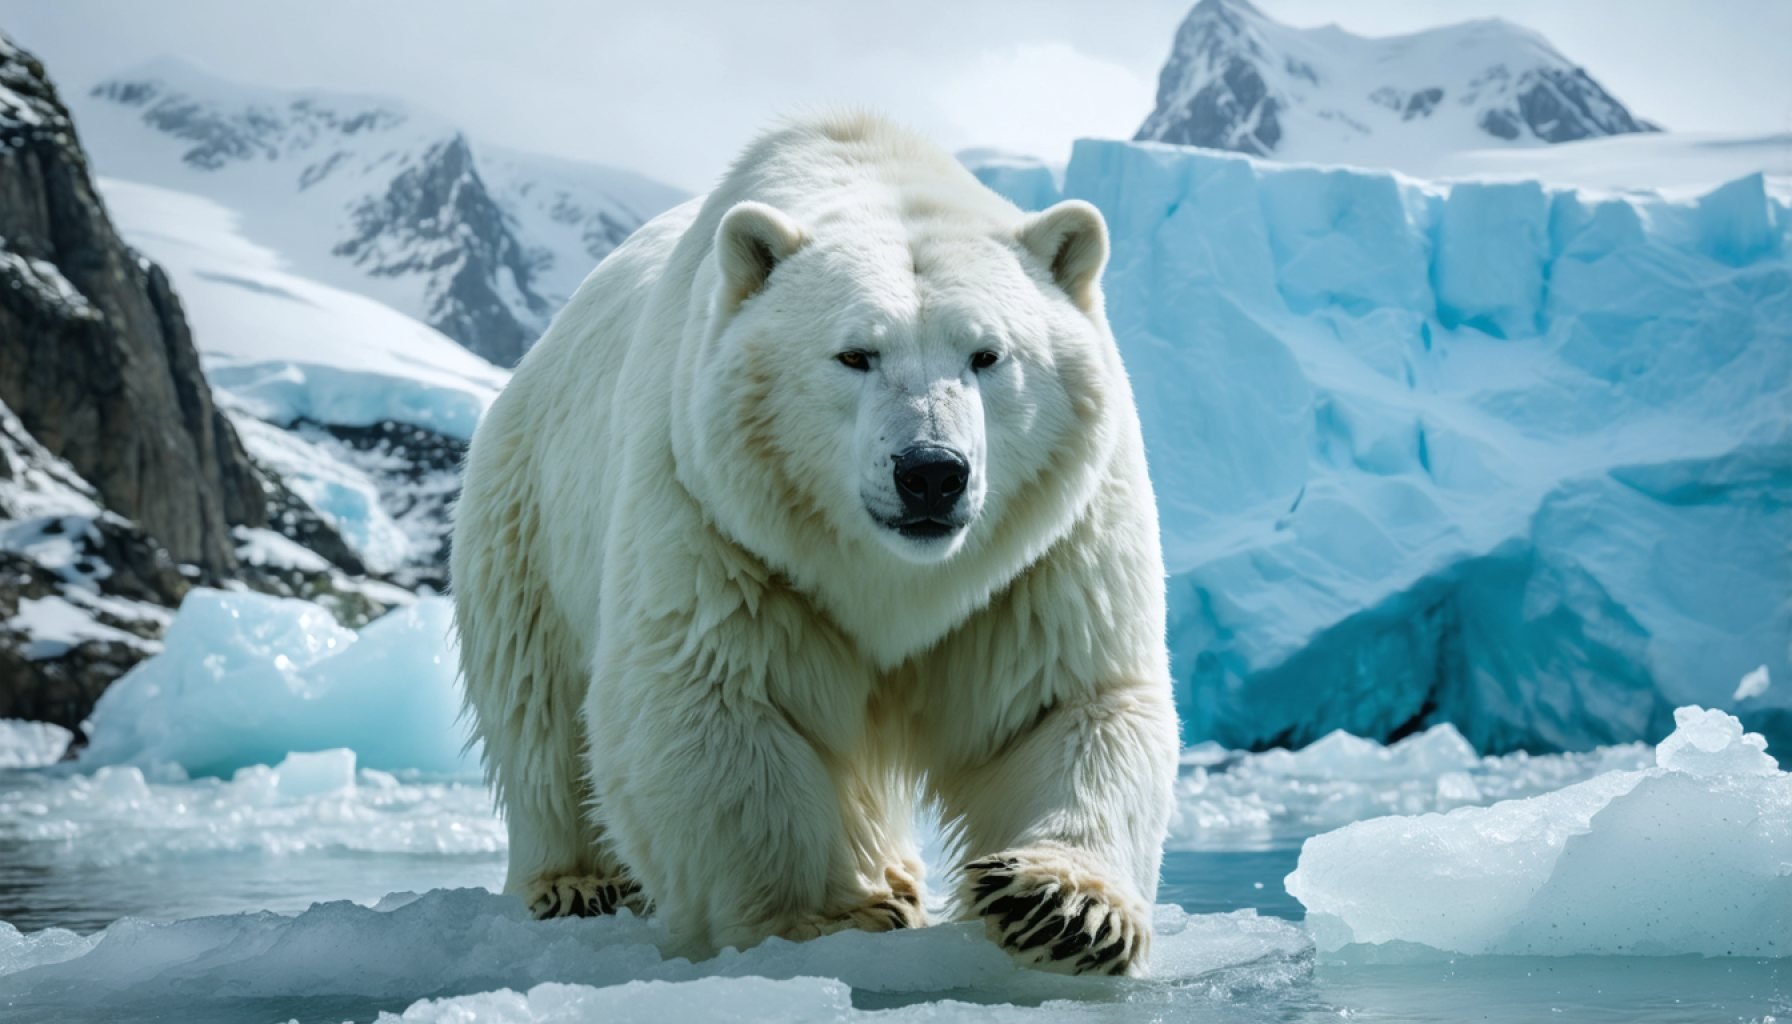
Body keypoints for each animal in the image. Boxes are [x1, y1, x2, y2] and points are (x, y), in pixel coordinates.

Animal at [451, 114, 1175, 975]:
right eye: (855, 353)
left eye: (989, 354)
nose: (931, 473)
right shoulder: (720, 517)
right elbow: (711, 698)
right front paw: (823, 917)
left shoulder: (1044, 552)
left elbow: (1065, 701)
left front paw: (1063, 906)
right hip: (525, 510)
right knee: (540, 705)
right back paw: (575, 881)